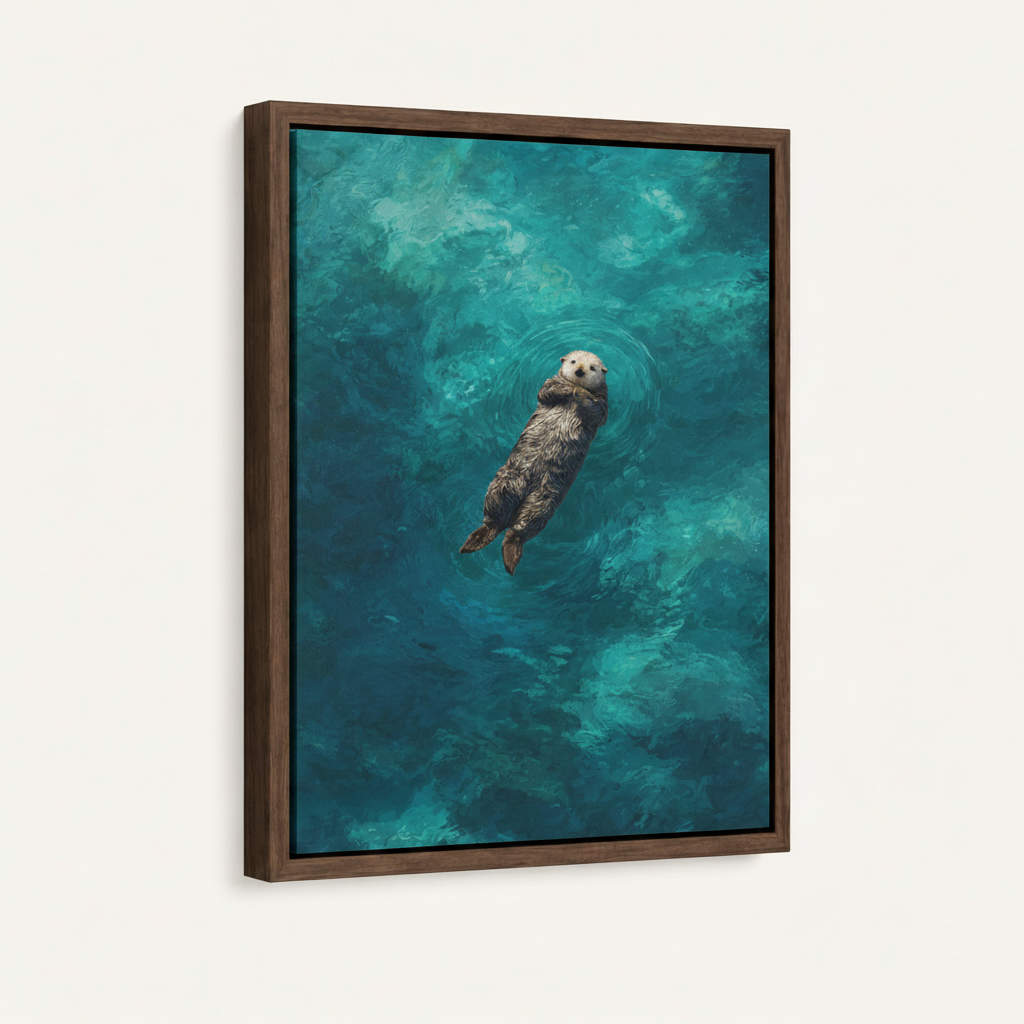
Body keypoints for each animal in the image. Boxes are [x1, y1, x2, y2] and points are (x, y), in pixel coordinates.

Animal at [460, 350, 609, 575]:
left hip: (545, 499)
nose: (580, 371)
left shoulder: (602, 404)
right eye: (573, 361)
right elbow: (545, 391)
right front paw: (569, 388)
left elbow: (597, 411)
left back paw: (508, 556)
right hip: (504, 481)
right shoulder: (547, 384)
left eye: (592, 368)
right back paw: (477, 540)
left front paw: (579, 391)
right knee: (495, 521)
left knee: (518, 529)